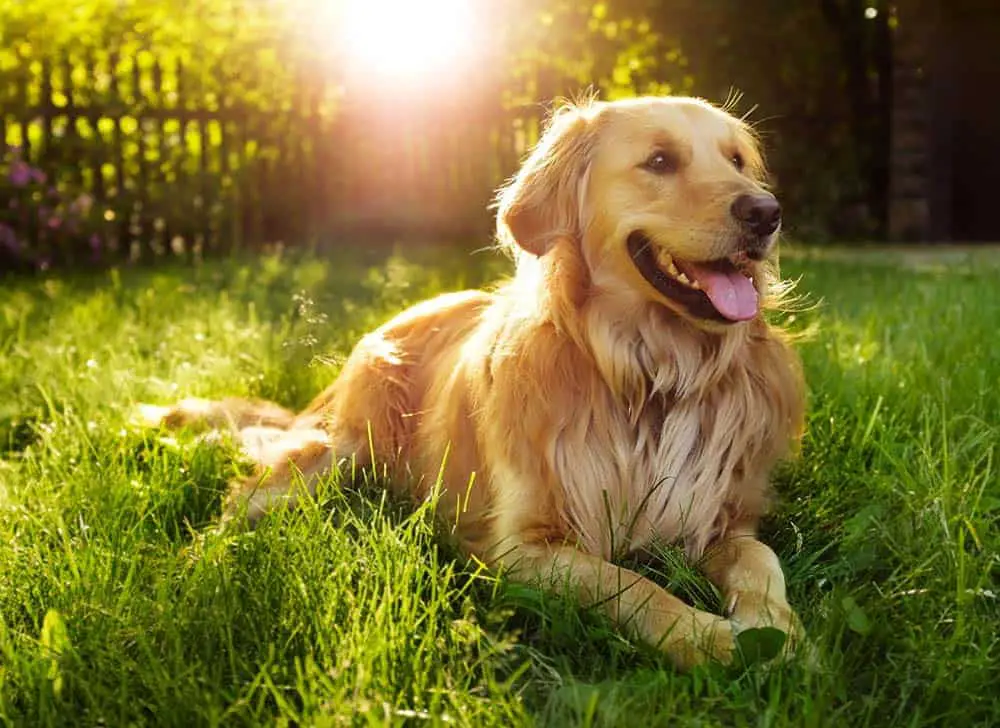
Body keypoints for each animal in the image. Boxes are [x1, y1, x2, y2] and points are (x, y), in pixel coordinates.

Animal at [145, 96, 808, 672]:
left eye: (737, 160)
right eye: (661, 161)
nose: (766, 213)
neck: (649, 376)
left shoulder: (720, 518)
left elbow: (761, 560)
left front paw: (778, 630)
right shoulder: (523, 547)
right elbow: (632, 585)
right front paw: (712, 640)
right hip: (337, 452)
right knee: (236, 506)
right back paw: (194, 571)